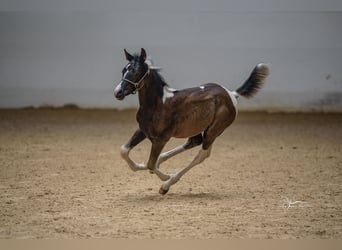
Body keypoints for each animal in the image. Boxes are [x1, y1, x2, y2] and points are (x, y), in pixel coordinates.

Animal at [113, 47, 268, 194]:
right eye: (124, 70)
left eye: (137, 71)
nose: (117, 92)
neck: (158, 104)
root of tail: (231, 94)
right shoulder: (143, 131)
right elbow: (124, 150)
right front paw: (141, 165)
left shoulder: (161, 139)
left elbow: (150, 163)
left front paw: (166, 176)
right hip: (195, 128)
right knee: (193, 142)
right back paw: (162, 161)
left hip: (214, 130)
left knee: (202, 154)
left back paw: (167, 184)